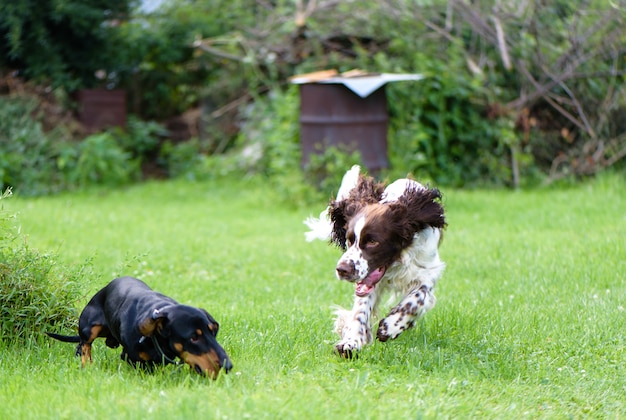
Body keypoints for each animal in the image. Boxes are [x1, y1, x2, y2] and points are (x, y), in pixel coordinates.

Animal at [304, 166, 446, 356]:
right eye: (349, 239)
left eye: (373, 242)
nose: (342, 269)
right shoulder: (368, 281)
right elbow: (360, 310)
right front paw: (351, 342)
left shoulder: (429, 271)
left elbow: (417, 298)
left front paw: (392, 326)